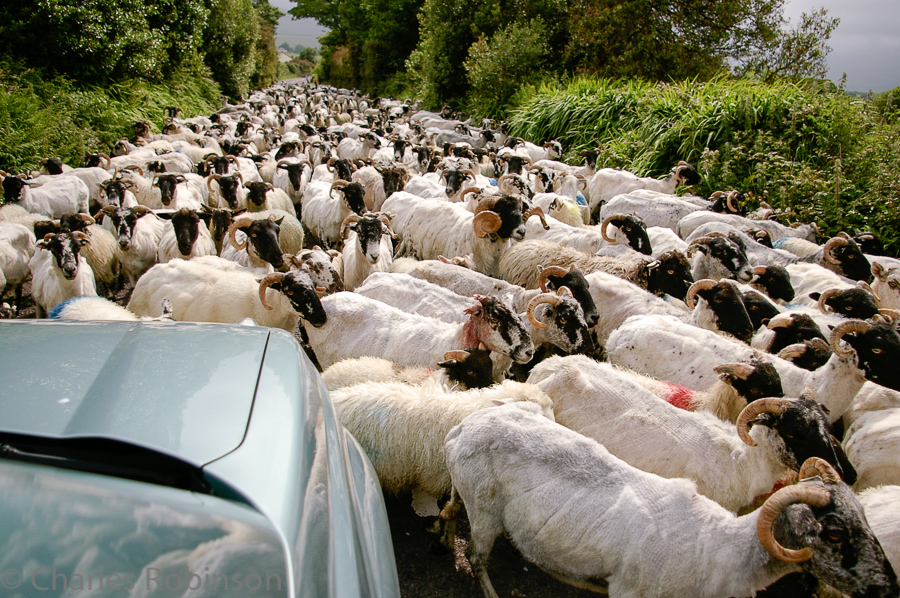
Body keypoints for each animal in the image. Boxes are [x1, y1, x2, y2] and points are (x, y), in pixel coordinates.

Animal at [442, 404, 892, 598]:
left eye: (865, 519)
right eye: (833, 531)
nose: (887, 588)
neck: (722, 549)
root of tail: (463, 427)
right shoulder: (631, 591)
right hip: (484, 510)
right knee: (477, 557)